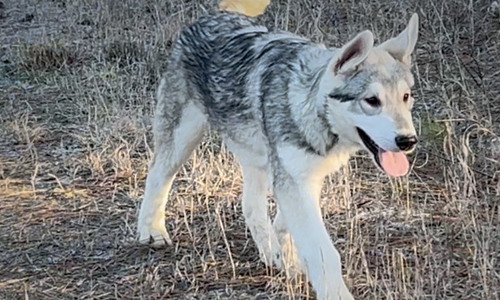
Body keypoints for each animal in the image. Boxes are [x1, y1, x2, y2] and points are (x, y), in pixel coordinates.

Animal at [139, 7, 420, 300]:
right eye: (372, 101)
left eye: (406, 97)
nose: (408, 140)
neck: (308, 106)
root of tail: (212, 15)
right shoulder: (293, 179)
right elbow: (323, 253)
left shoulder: (301, 176)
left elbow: (284, 224)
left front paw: (284, 258)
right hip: (182, 139)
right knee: (157, 176)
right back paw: (151, 231)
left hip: (256, 160)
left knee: (250, 206)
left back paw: (270, 253)